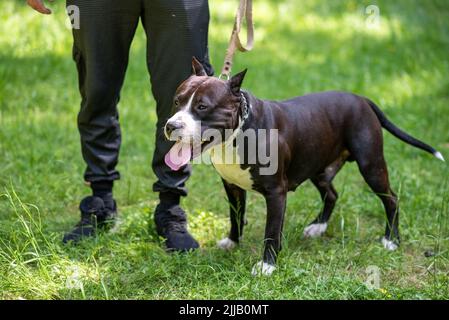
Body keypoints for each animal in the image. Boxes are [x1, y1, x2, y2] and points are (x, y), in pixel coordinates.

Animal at [163, 57, 442, 276]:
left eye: (202, 107)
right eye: (176, 101)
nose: (171, 125)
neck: (239, 131)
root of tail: (361, 99)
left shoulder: (276, 193)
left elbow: (271, 231)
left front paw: (267, 266)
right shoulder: (232, 186)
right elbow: (236, 216)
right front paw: (232, 242)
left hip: (370, 165)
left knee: (391, 198)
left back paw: (391, 240)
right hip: (318, 166)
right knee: (332, 194)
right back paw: (318, 226)